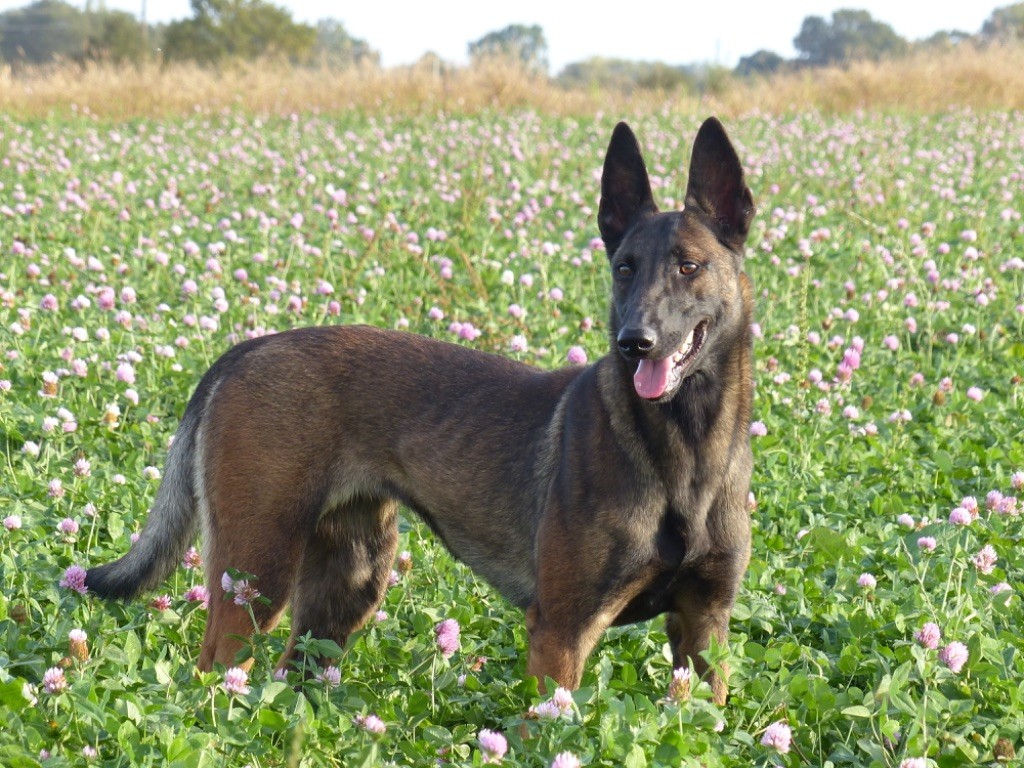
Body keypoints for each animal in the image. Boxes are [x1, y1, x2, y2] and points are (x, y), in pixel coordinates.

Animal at [88, 115, 757, 708]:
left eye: (689, 267)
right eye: (623, 269)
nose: (633, 341)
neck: (685, 450)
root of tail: (245, 350)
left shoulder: (705, 628)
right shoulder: (562, 633)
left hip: (348, 585)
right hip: (257, 576)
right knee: (213, 676)